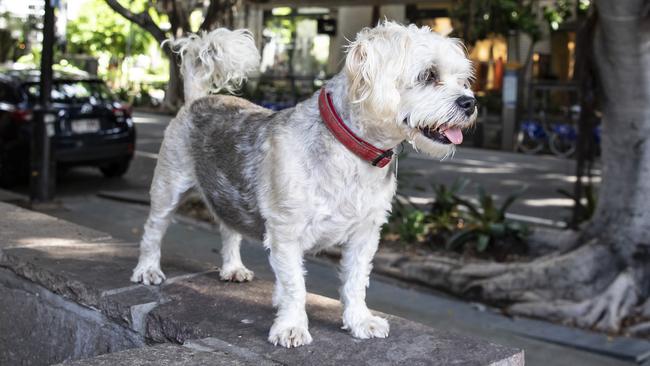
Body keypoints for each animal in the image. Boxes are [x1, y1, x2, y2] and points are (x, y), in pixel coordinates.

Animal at [130, 21, 476, 348]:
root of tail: (198, 99)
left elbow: (355, 282)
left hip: (228, 193)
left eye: (463, 79)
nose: (470, 103)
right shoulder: (286, 232)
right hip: (168, 187)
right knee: (152, 230)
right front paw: (291, 326)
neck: (352, 153)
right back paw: (147, 269)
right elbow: (295, 285)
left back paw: (232, 267)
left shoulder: (365, 235)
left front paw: (359, 321)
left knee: (229, 229)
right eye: (428, 75)